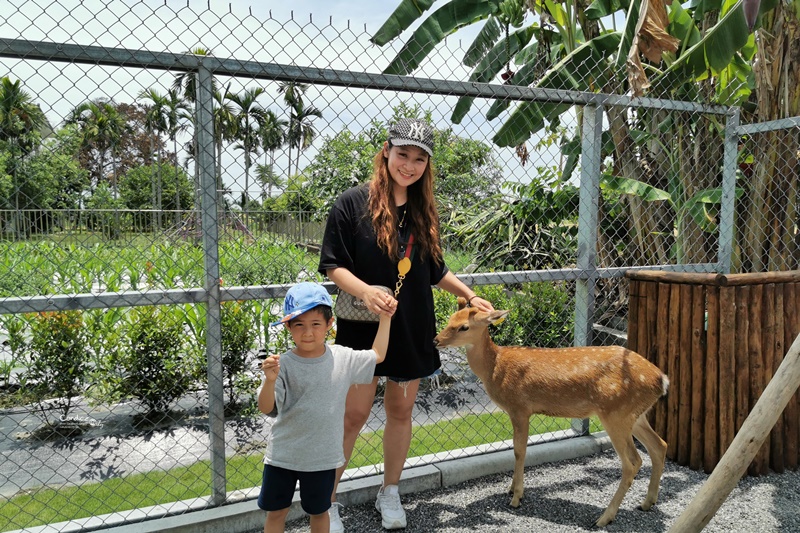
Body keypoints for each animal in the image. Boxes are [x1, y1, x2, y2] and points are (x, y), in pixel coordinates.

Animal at [434, 298, 672, 524]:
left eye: (463, 327)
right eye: (450, 319)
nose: (436, 340)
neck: (495, 367)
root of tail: (662, 380)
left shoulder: (520, 407)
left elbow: (519, 450)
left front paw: (516, 497)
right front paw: (511, 489)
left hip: (615, 413)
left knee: (632, 462)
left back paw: (604, 518)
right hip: (635, 415)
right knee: (659, 446)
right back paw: (647, 503)